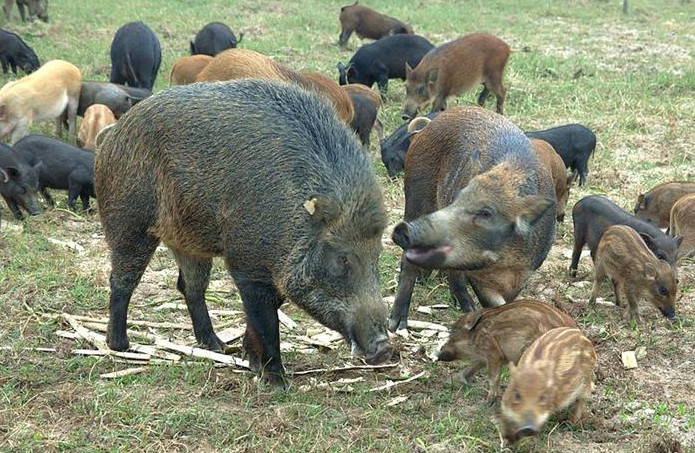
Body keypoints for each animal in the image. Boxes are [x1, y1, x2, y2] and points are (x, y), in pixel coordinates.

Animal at [95, 79, 394, 384]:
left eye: (377, 255)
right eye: (341, 258)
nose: (384, 348)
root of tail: (111, 134)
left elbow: (266, 310)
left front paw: (249, 361)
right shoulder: (246, 262)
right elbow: (265, 319)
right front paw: (276, 381)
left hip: (187, 242)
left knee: (190, 287)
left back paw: (216, 345)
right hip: (127, 222)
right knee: (121, 280)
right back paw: (120, 345)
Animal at [438, 298, 580, 400]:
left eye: (453, 332)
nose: (439, 354)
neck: (475, 334)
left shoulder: (493, 352)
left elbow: (493, 375)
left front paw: (490, 399)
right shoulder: (484, 357)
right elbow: (472, 367)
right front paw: (454, 380)